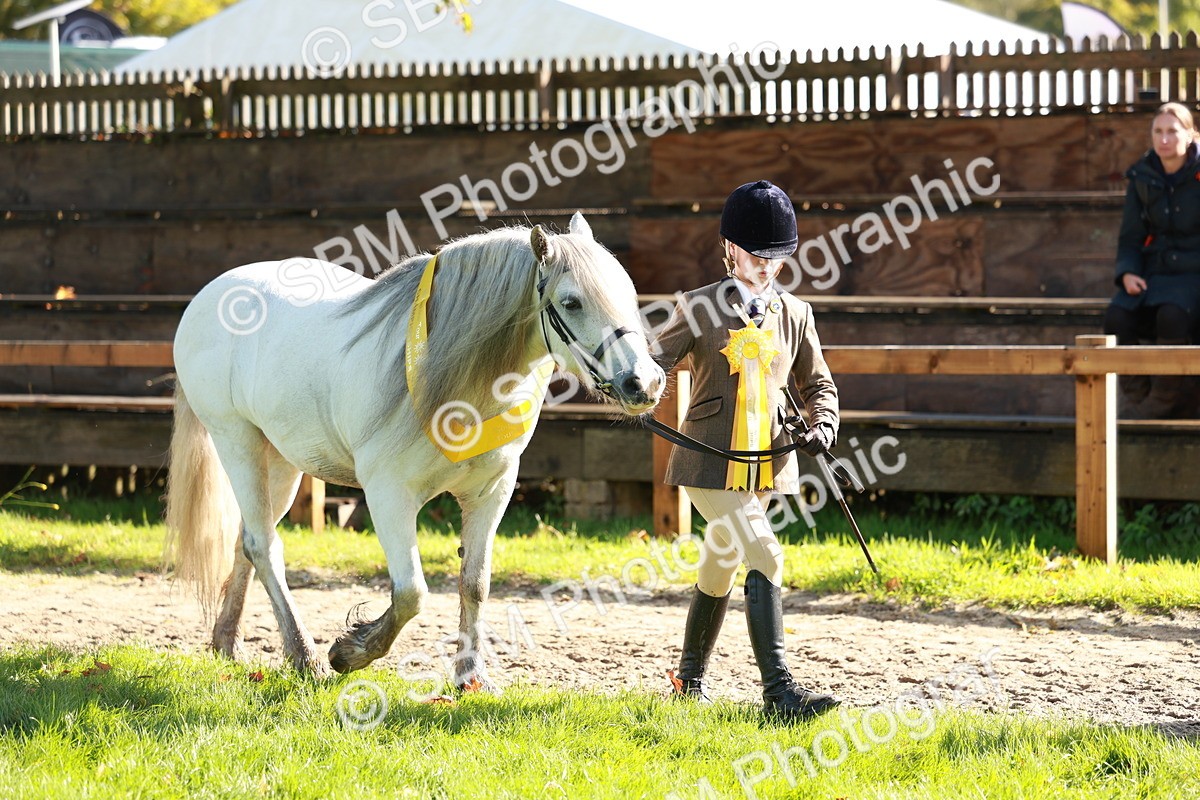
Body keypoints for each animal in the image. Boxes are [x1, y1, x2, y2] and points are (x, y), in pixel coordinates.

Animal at [165, 213, 665, 689]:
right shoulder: (388, 495)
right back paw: (304, 655)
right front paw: (349, 652)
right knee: (263, 545)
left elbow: (474, 584)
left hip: (282, 461)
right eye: (571, 301)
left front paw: (470, 677)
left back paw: (227, 642)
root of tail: (210, 294)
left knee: (247, 539)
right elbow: (411, 593)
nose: (643, 383)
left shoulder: (492, 493)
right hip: (238, 441)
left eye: (627, 293)